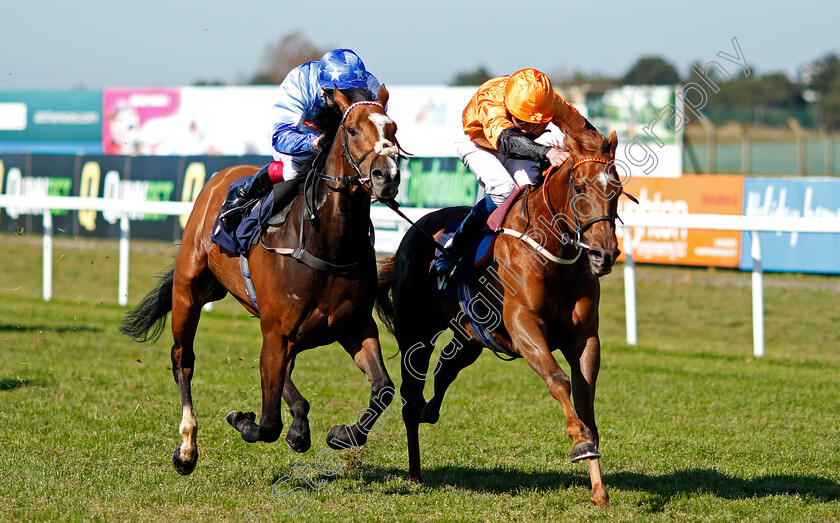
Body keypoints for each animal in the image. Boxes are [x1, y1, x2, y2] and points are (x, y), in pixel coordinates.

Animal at [120, 85, 404, 474]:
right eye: (352, 130)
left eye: (393, 128)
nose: (386, 176)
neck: (327, 243)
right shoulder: (277, 331)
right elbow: (268, 424)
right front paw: (242, 420)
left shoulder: (355, 326)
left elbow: (384, 389)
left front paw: (340, 434)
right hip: (188, 292)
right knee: (183, 360)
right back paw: (187, 447)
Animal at [378, 128, 620, 508]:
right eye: (580, 187)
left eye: (618, 188)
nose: (604, 254)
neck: (553, 255)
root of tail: (417, 229)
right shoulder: (524, 327)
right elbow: (558, 380)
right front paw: (580, 444)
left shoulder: (584, 338)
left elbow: (585, 398)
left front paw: (598, 486)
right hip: (415, 335)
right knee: (410, 399)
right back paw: (415, 472)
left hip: (470, 337)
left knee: (445, 370)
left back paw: (430, 414)